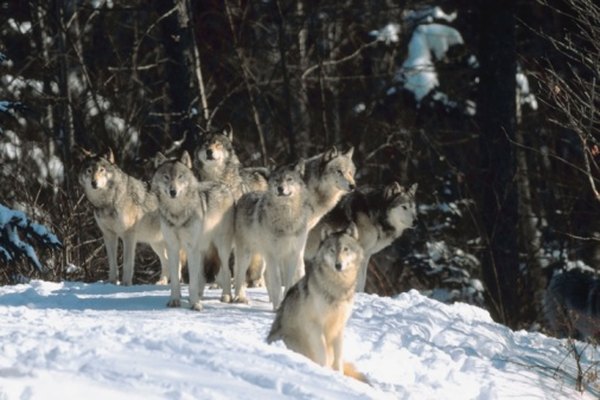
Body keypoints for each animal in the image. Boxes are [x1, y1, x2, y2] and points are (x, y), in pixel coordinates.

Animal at [78, 148, 171, 286]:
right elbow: (112, 264)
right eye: (89, 170)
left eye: (101, 170)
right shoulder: (108, 235)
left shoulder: (129, 236)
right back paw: (162, 282)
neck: (108, 201)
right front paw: (112, 283)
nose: (94, 183)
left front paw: (126, 284)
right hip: (155, 243)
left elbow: (127, 263)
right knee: (167, 261)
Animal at [150, 150, 234, 310]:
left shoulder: (190, 247)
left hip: (221, 248)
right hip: (202, 249)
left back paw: (226, 297)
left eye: (180, 176)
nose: (173, 191)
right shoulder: (173, 247)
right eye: (166, 177)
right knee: (202, 275)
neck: (177, 213)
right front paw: (175, 300)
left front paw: (195, 304)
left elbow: (193, 282)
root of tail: (224, 186)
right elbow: (176, 279)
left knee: (226, 271)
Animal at [232, 160, 312, 310]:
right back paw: (240, 298)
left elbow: (288, 282)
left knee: (264, 275)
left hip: (263, 258)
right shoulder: (273, 255)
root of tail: (246, 195)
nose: (280, 188)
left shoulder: (292, 255)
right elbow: (277, 283)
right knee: (239, 275)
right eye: (277, 180)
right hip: (247, 254)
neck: (287, 219)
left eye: (289, 179)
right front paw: (278, 306)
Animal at [266, 223, 368, 382]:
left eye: (345, 249)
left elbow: (338, 357)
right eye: (332, 250)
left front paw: (338, 374)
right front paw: (325, 371)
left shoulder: (340, 326)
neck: (337, 288)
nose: (338, 265)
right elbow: (322, 352)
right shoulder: (315, 325)